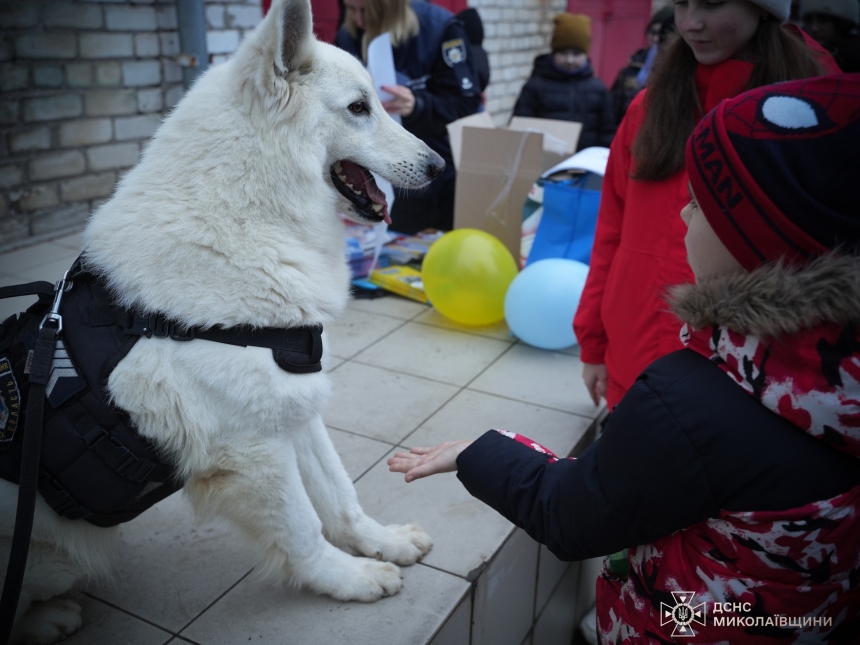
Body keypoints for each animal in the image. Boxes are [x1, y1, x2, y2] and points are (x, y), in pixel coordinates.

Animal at [1, 1, 444, 640]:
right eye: (360, 108)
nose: (440, 165)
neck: (246, 214)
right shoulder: (253, 453)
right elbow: (304, 529)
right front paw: (350, 579)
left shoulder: (293, 410)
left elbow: (338, 494)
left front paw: (377, 543)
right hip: (60, 553)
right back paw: (45, 620)